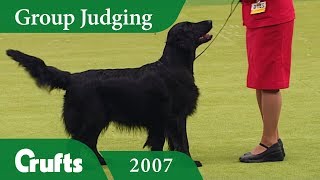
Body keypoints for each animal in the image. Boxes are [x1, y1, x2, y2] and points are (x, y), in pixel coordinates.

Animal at [5, 20, 212, 167]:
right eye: (190, 25)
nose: (210, 20)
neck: (174, 66)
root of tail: (72, 77)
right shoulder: (176, 116)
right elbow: (182, 142)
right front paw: (191, 162)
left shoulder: (162, 120)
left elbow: (163, 143)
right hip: (93, 117)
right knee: (81, 141)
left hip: (97, 119)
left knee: (89, 142)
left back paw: (100, 161)